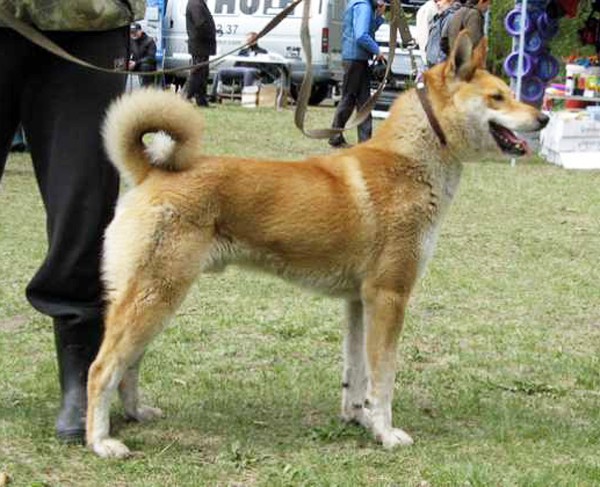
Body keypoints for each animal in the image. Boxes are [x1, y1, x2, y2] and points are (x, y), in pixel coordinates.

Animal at [86, 32, 549, 458]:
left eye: (510, 93)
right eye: (497, 97)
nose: (543, 117)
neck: (411, 164)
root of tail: (152, 172)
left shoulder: (360, 302)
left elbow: (357, 375)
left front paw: (359, 419)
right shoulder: (389, 297)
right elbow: (384, 377)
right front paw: (387, 433)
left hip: (157, 301)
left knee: (129, 365)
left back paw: (136, 414)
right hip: (156, 296)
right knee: (102, 367)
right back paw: (101, 441)